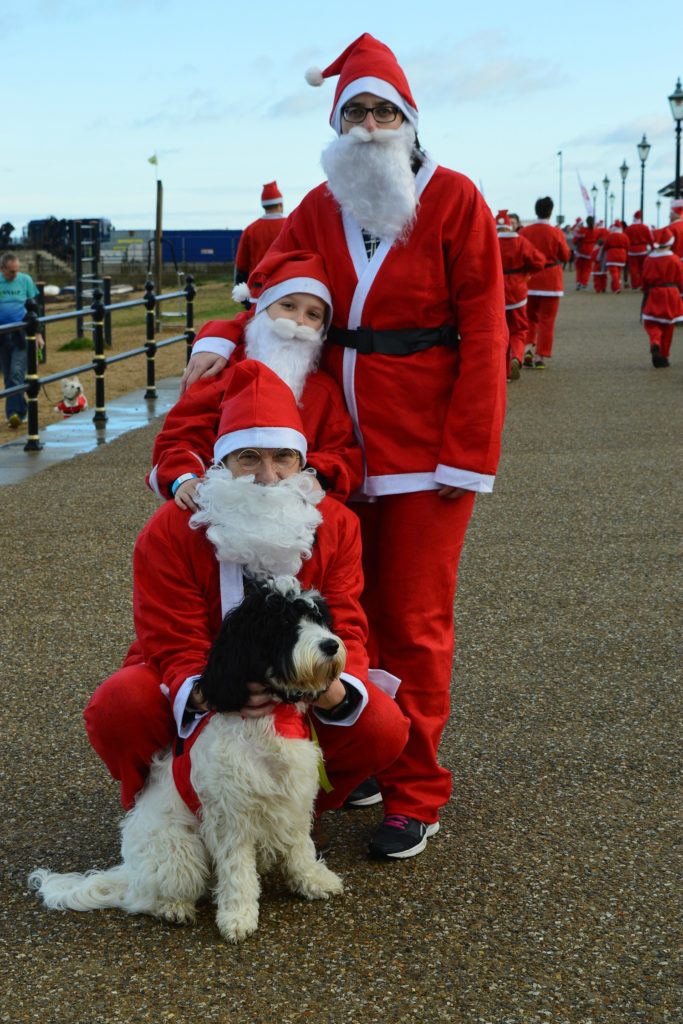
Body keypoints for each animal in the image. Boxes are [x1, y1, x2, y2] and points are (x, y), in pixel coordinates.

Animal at [29, 577, 344, 942]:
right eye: (282, 623)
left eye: (319, 618)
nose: (331, 645)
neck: (269, 720)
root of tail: (129, 873)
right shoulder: (230, 817)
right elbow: (237, 870)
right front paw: (238, 916)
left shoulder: (293, 798)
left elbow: (300, 847)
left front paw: (313, 880)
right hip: (181, 850)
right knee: (142, 899)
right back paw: (173, 908)